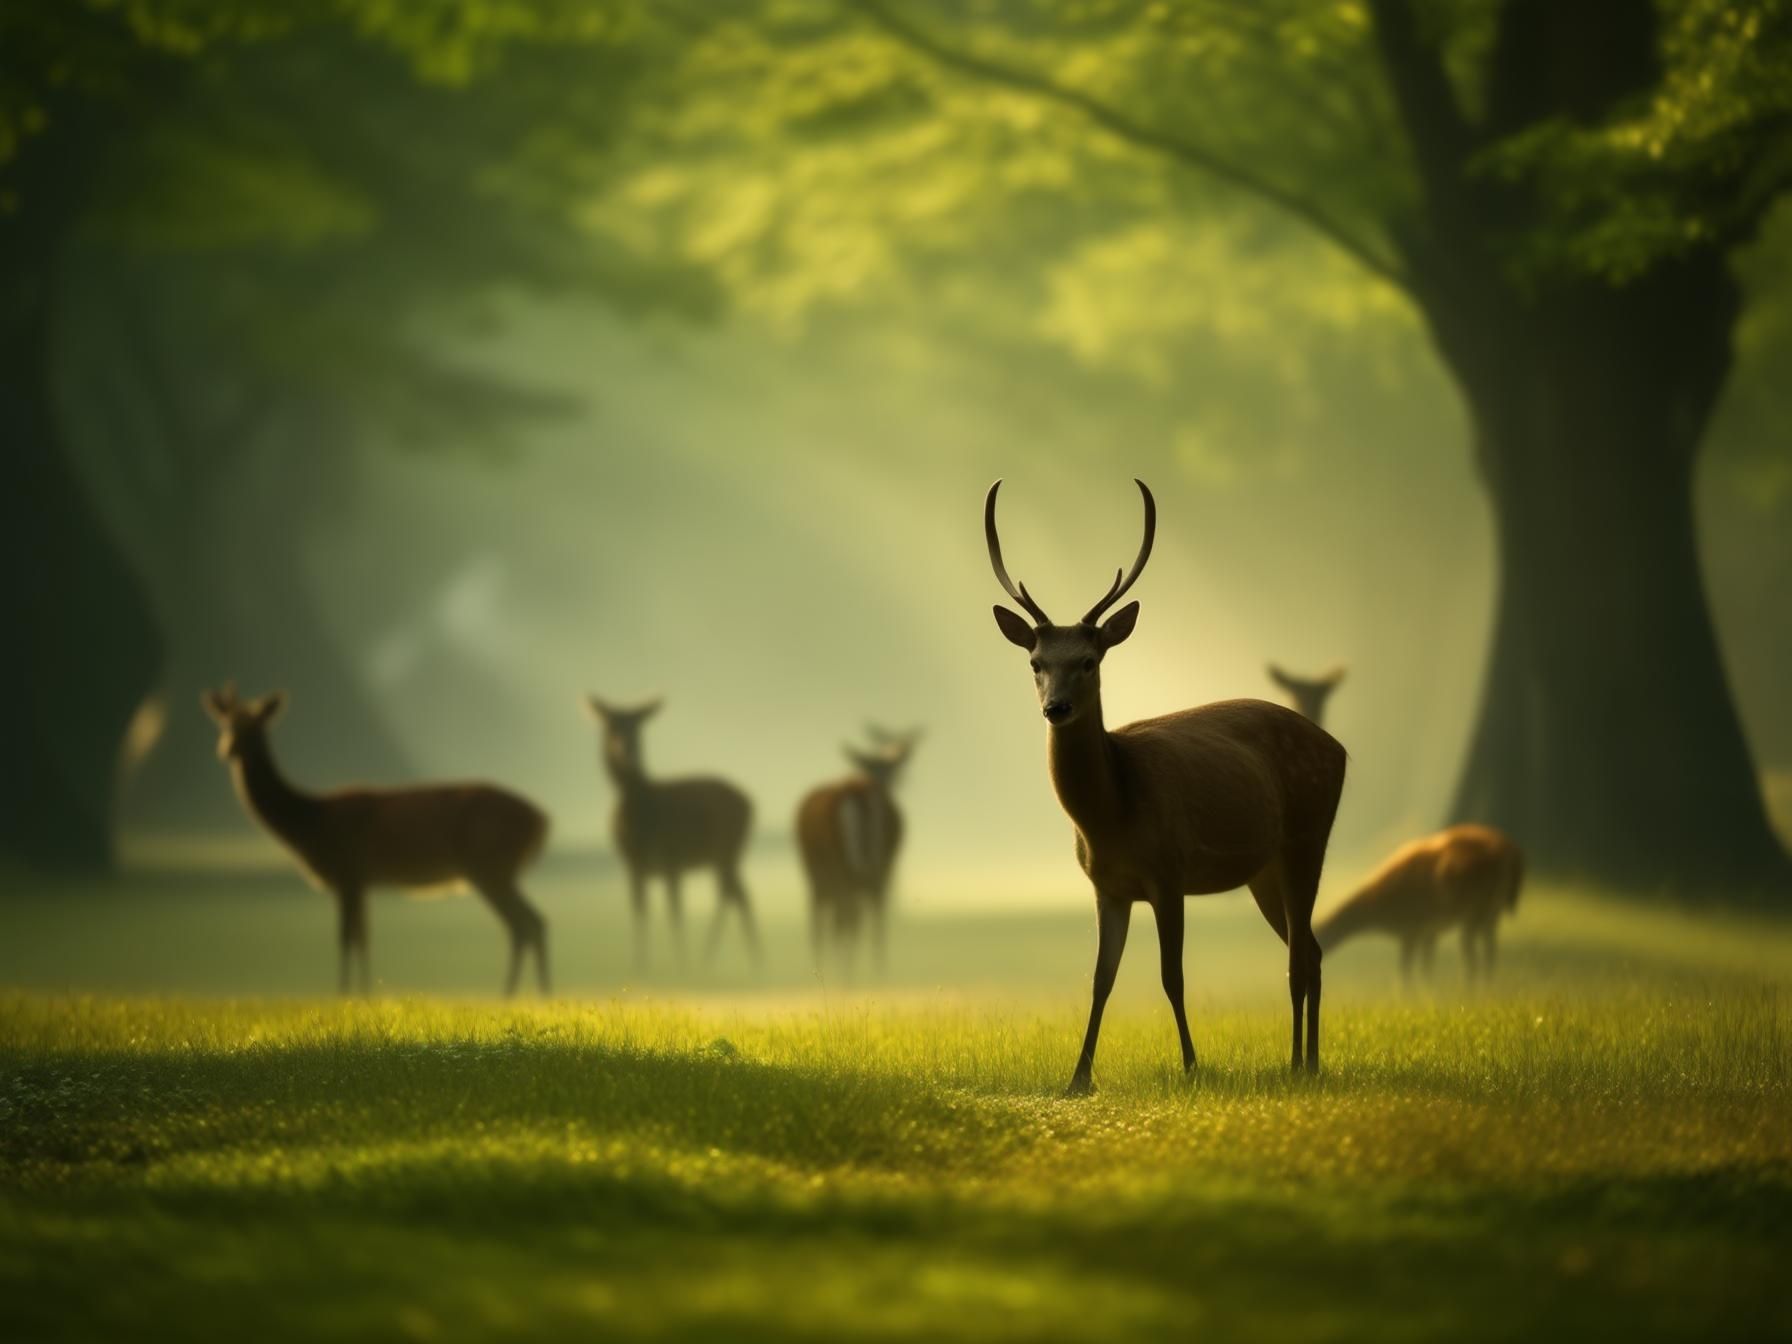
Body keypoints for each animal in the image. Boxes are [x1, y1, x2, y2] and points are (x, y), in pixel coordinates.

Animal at [201, 684, 550, 996]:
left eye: (255, 726)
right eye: (224, 723)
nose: (226, 749)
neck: (310, 822)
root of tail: (541, 819)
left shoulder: (348, 873)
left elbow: (346, 937)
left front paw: (345, 995)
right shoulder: (361, 881)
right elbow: (362, 937)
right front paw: (363, 995)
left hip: (490, 866)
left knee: (524, 924)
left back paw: (514, 993)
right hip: (497, 870)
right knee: (532, 921)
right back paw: (536, 993)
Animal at [583, 696, 758, 967]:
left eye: (638, 726)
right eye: (612, 725)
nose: (627, 752)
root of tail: (750, 803)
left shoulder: (672, 857)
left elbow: (674, 912)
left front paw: (681, 962)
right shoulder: (633, 864)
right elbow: (640, 909)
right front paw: (640, 964)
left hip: (727, 847)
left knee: (732, 893)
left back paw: (716, 957)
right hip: (727, 854)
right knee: (735, 893)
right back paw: (740, 959)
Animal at [795, 731, 920, 970]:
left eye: (893, 768)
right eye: (887, 768)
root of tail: (857, 791)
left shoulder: (820, 881)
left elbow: (827, 926)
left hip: (839, 872)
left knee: (843, 919)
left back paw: (843, 972)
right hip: (878, 871)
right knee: (874, 921)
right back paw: (876, 972)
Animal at [986, 479, 1346, 1092]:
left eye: (1089, 659)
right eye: (1035, 661)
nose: (1056, 708)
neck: (1112, 817)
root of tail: (1339, 747)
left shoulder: (1169, 871)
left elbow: (1171, 976)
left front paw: (1193, 1065)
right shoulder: (1107, 886)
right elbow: (1100, 979)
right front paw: (1077, 1079)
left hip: (1308, 834)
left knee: (1299, 955)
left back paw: (1300, 1064)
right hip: (1263, 869)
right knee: (1314, 950)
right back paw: (1311, 1062)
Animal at [1315, 824, 1523, 981]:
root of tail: (1512, 854)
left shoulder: (1411, 928)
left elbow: (1406, 970)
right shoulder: (1427, 931)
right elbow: (1425, 968)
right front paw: (1428, 994)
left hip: (1474, 908)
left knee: (1472, 958)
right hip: (1491, 910)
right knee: (1490, 952)